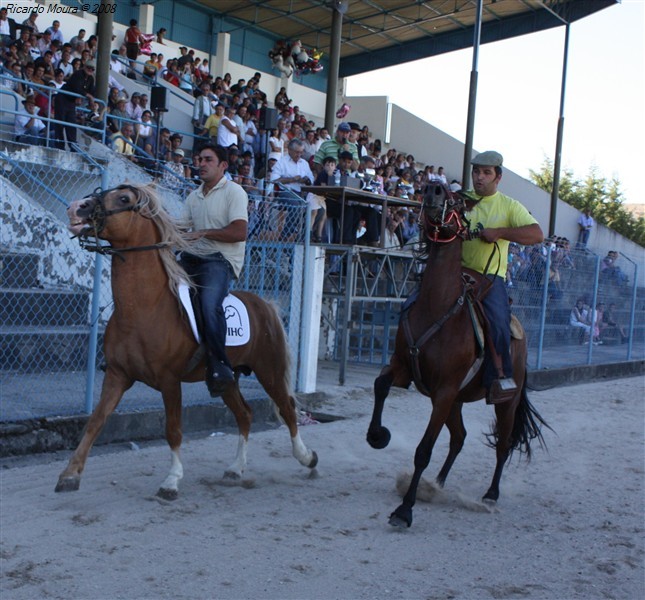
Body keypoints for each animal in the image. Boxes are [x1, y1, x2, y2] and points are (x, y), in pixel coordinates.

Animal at [57, 185, 316, 500]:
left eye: (124, 199)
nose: (76, 207)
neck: (144, 307)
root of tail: (265, 305)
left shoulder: (170, 381)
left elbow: (173, 429)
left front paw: (171, 480)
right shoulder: (118, 376)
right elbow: (95, 422)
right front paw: (70, 474)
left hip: (270, 371)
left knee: (288, 409)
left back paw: (307, 457)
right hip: (227, 379)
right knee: (245, 415)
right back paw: (235, 468)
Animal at [364, 185, 544, 528]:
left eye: (460, 202)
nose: (432, 189)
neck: (437, 306)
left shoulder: (445, 390)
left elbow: (423, 450)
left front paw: (404, 510)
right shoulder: (405, 369)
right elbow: (380, 384)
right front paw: (378, 435)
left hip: (502, 402)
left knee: (503, 445)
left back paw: (490, 495)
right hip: (456, 402)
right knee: (460, 437)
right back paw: (437, 483)